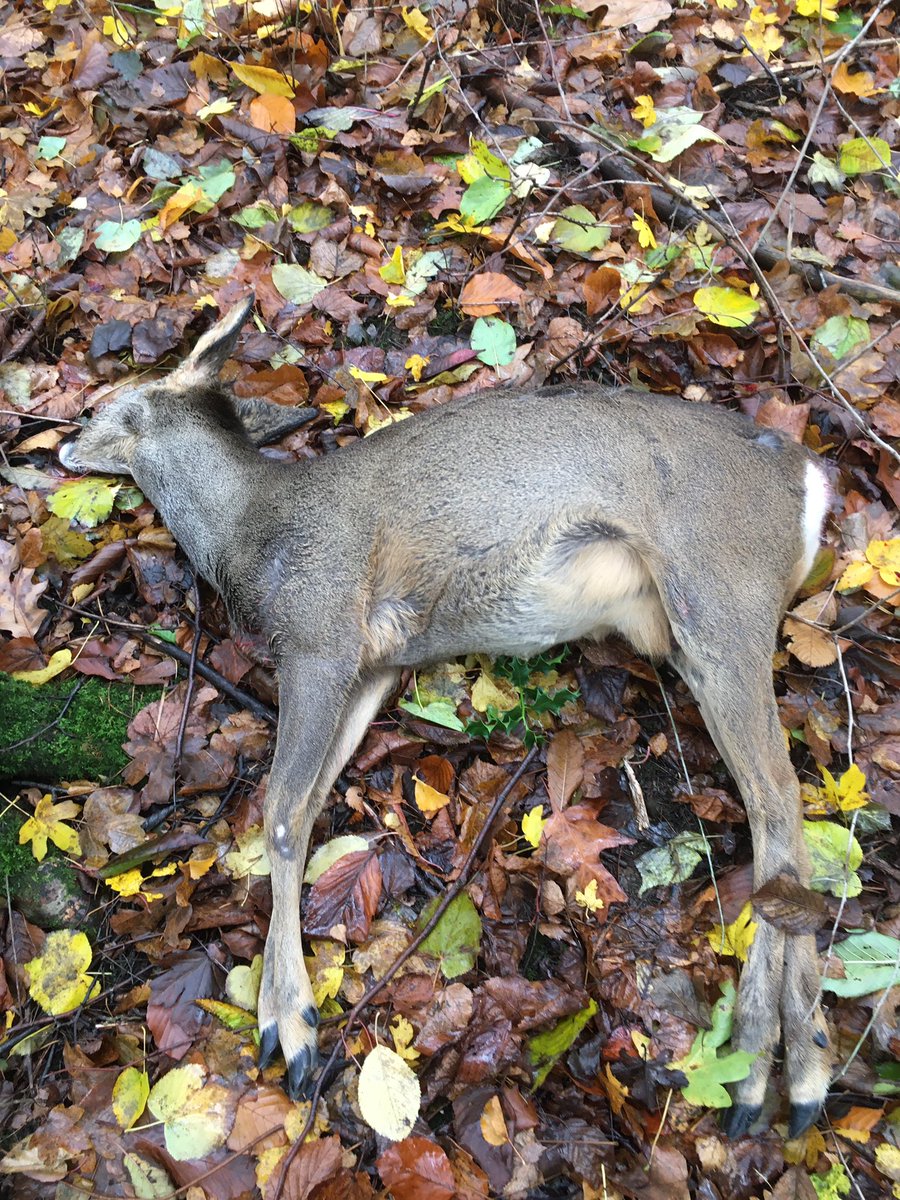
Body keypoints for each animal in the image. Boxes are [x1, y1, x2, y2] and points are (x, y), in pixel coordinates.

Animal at [59, 295, 833, 1138]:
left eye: (110, 403)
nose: (64, 442)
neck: (250, 539)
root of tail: (808, 476)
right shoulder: (374, 664)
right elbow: (311, 802)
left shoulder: (321, 630)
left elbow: (281, 811)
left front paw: (289, 1023)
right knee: (777, 810)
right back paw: (791, 1066)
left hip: (719, 592)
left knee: (780, 799)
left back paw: (770, 1067)